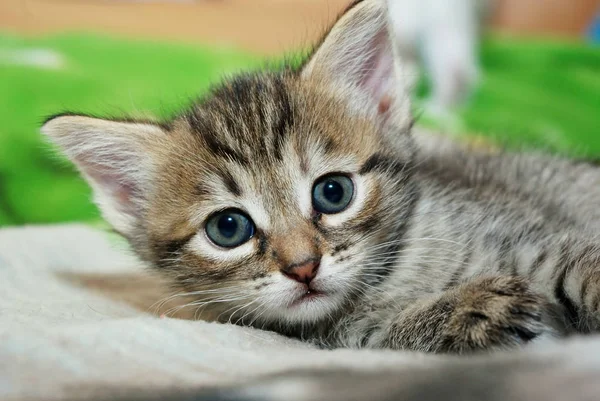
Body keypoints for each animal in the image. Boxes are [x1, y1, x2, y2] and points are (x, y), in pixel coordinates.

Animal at [43, 0, 600, 354]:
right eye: (228, 228)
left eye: (333, 192)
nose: (303, 267)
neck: (392, 278)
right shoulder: (348, 337)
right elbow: (395, 332)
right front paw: (467, 310)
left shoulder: (534, 235)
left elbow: (583, 265)